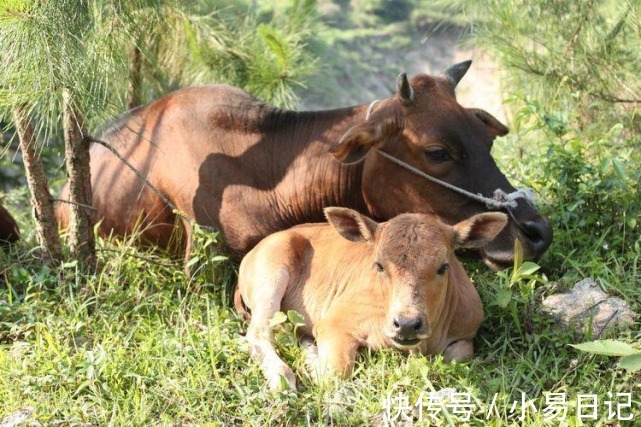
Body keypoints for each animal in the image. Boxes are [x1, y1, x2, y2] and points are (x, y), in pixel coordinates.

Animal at [234, 207, 504, 392]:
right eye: (379, 265)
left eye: (443, 267)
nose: (407, 324)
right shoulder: (334, 324)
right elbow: (334, 374)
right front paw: (313, 368)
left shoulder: (466, 334)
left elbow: (457, 354)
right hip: (270, 273)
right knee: (259, 333)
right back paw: (282, 377)